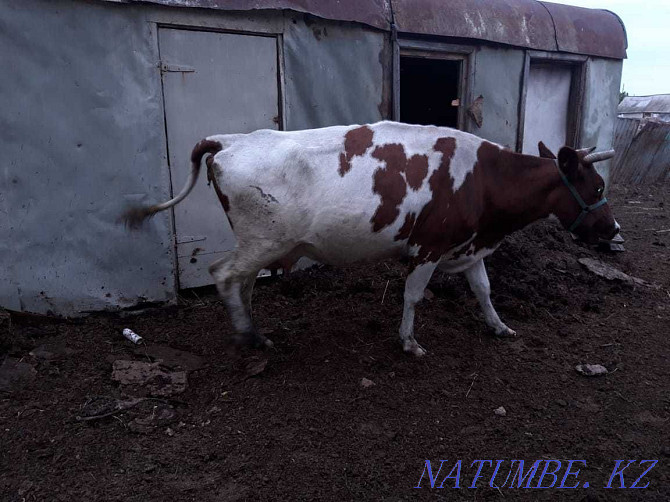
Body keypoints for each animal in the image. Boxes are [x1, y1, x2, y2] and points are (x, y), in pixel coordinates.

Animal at [122, 122, 620, 356]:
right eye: (597, 187)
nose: (614, 231)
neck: (484, 179)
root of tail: (231, 140)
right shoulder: (430, 246)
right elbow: (413, 295)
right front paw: (409, 342)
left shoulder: (471, 243)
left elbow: (484, 289)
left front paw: (499, 326)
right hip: (262, 240)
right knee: (223, 274)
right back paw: (249, 335)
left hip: (258, 243)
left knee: (242, 284)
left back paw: (256, 330)